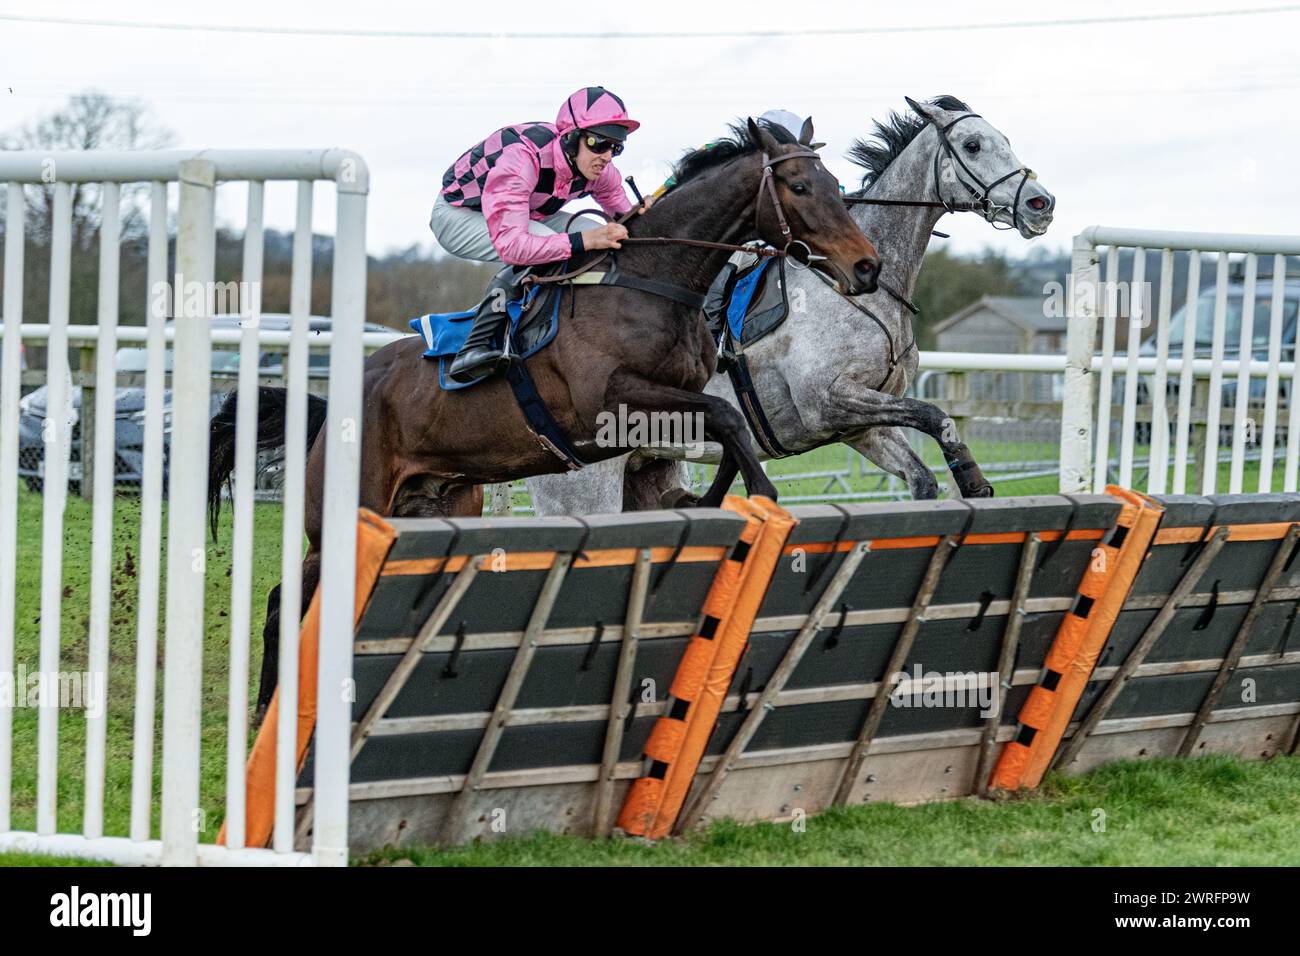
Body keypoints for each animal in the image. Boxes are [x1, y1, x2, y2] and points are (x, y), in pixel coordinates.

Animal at [522, 95, 1050, 515]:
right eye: (973, 145)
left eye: (1004, 139)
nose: (1041, 203)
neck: (859, 292)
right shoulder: (828, 400)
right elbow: (934, 414)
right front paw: (972, 479)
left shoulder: (859, 427)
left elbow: (921, 472)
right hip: (584, 487)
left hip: (649, 468)